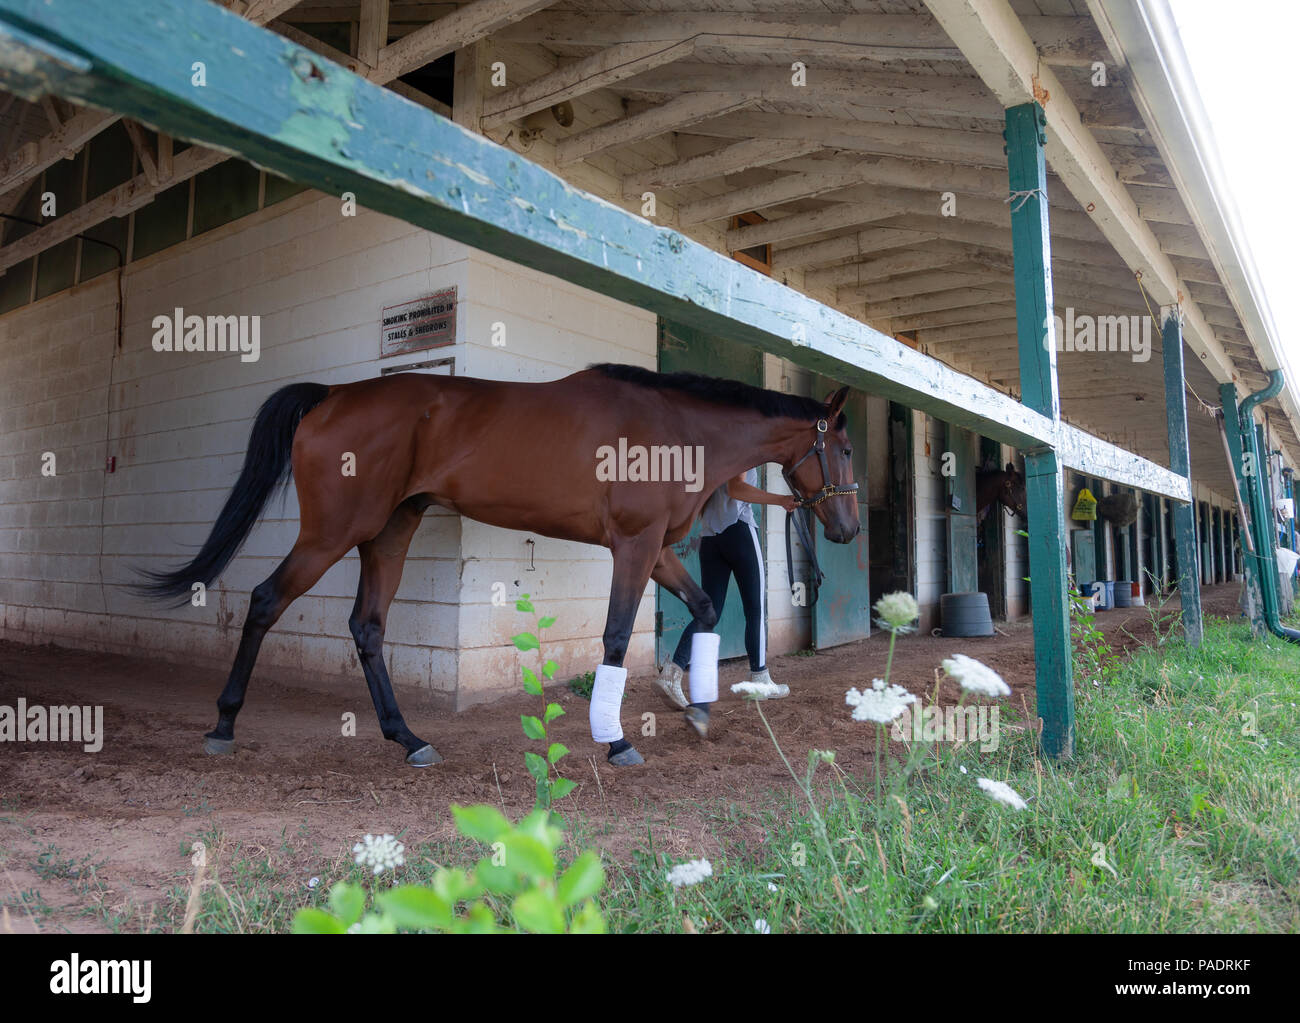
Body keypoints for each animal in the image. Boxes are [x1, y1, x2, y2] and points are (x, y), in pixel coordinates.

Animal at [139, 366, 863, 769]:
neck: (675, 429)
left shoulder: (657, 549)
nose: (848, 529)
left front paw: (700, 708)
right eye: (848, 448)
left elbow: (707, 608)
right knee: (265, 600)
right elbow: (616, 637)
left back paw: (409, 739)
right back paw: (223, 725)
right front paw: (616, 741)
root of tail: (333, 394)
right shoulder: (634, 546)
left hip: (388, 533)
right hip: (331, 533)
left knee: (367, 626)